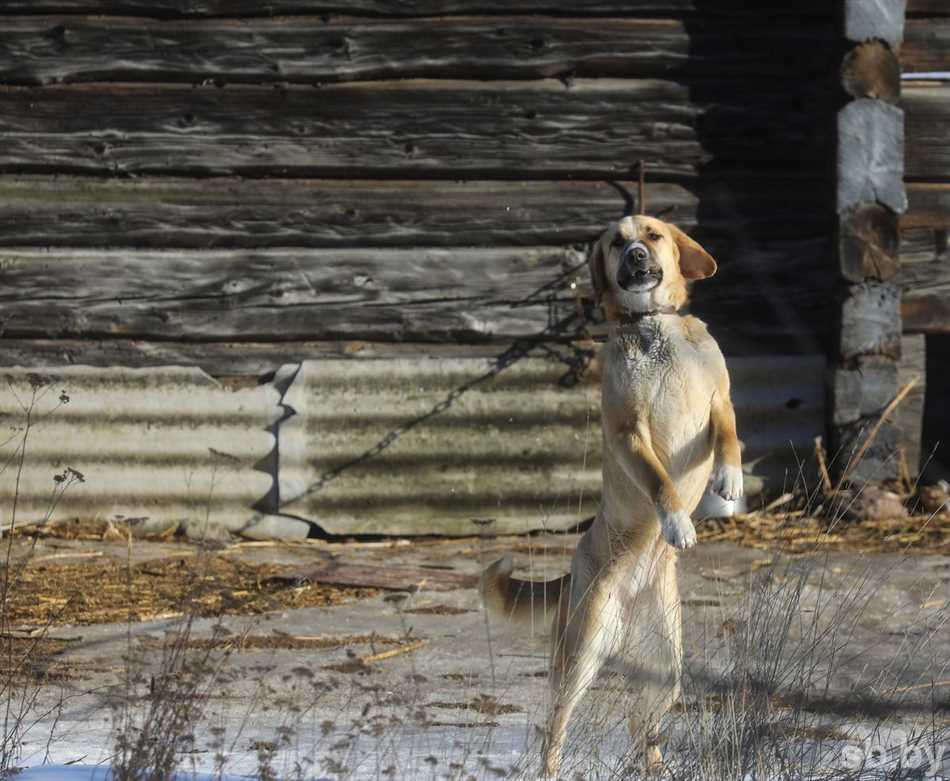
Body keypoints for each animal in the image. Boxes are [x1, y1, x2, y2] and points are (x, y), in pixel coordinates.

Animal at [484, 212, 744, 772]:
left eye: (653, 235)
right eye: (614, 244)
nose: (636, 257)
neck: (652, 329)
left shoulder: (720, 401)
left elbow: (730, 436)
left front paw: (730, 479)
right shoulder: (630, 434)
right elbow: (660, 481)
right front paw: (676, 521)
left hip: (664, 672)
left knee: (640, 729)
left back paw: (660, 769)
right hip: (579, 656)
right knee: (554, 729)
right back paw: (553, 769)